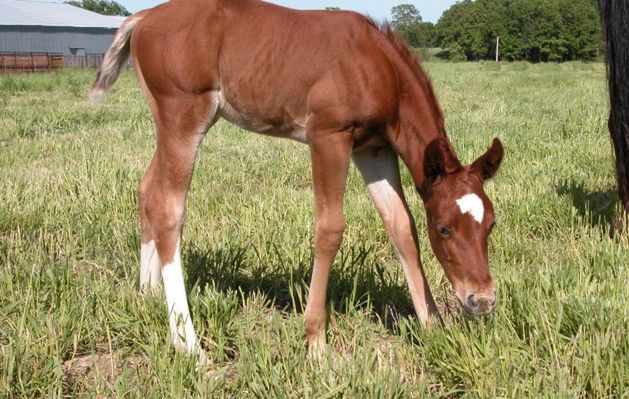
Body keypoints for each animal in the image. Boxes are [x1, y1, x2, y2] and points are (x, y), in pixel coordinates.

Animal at [88, 0, 502, 360]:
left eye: (491, 225)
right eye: (445, 228)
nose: (482, 300)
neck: (378, 65)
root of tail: (143, 17)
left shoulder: (374, 149)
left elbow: (401, 227)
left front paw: (431, 325)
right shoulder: (329, 136)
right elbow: (330, 228)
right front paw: (316, 340)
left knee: (147, 190)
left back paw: (148, 295)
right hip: (184, 115)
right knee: (167, 206)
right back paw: (189, 345)